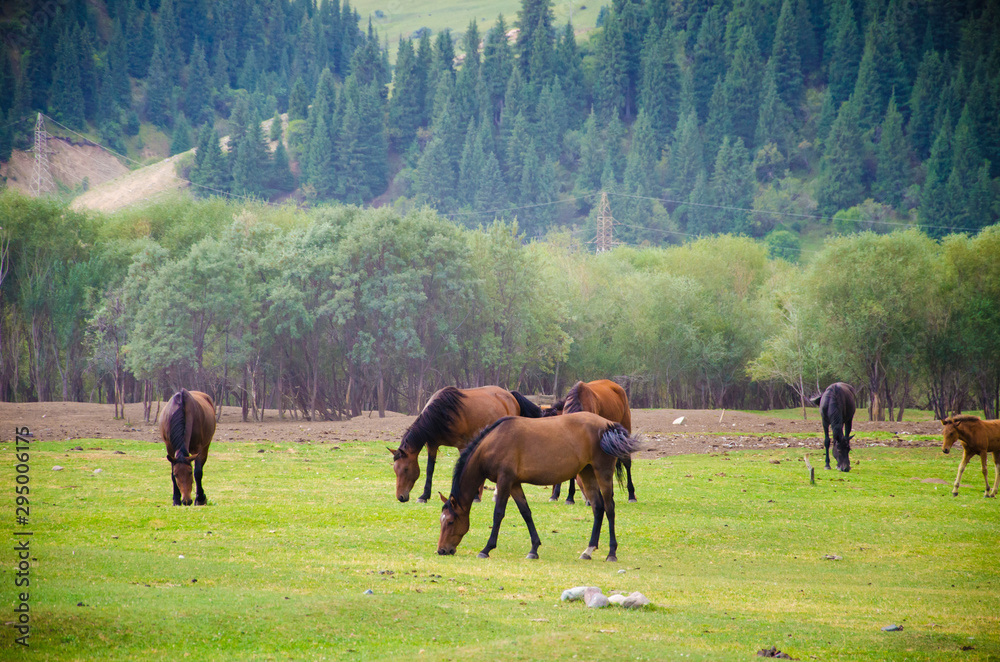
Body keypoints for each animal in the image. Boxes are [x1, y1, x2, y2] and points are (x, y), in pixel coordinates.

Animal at [386, 384, 544, 504]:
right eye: (395, 469)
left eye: (406, 469)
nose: (401, 497)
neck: (442, 413)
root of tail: (509, 395)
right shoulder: (432, 444)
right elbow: (430, 469)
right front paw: (424, 496)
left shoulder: (461, 445)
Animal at [438, 416, 640, 564]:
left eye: (450, 522)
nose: (442, 550)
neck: (493, 442)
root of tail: (608, 425)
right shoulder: (514, 484)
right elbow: (526, 512)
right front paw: (534, 549)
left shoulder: (505, 481)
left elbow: (498, 514)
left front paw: (486, 549)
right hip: (587, 473)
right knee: (598, 508)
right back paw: (588, 550)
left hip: (603, 473)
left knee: (610, 509)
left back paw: (612, 553)